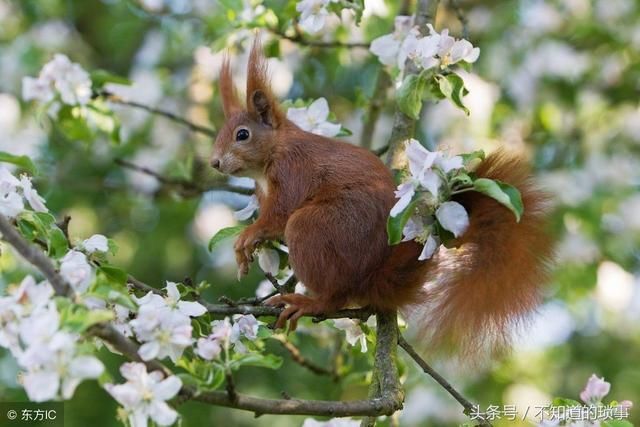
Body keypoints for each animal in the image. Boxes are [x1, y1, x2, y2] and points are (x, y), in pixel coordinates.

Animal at [212, 39, 552, 358]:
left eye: (242, 135)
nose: (214, 163)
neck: (272, 154)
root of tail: (371, 278)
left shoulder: (292, 170)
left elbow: (279, 214)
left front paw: (248, 236)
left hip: (320, 229)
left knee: (332, 289)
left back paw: (312, 302)